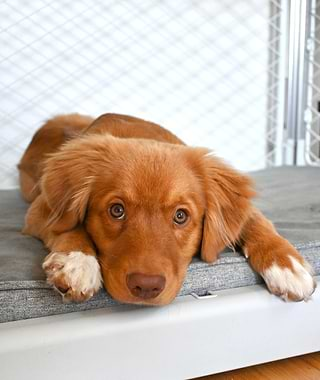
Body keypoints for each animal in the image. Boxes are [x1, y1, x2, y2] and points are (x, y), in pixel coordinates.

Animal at [19, 113, 316, 306]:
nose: (146, 287)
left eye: (181, 216)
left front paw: (287, 265)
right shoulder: (39, 209)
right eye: (116, 210)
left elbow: (257, 223)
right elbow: (69, 226)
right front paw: (78, 261)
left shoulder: (244, 211)